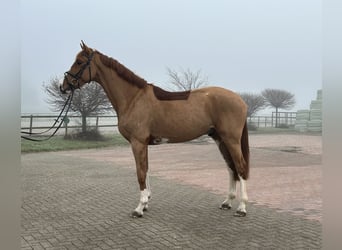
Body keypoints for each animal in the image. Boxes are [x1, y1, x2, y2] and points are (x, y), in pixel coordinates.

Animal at [60, 41, 250, 217]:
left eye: (79, 62)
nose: (63, 86)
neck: (133, 98)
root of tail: (240, 100)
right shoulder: (144, 143)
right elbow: (146, 169)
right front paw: (145, 203)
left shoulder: (137, 142)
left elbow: (140, 173)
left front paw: (139, 208)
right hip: (220, 139)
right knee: (231, 167)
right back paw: (227, 202)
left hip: (231, 139)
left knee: (240, 167)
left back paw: (241, 208)